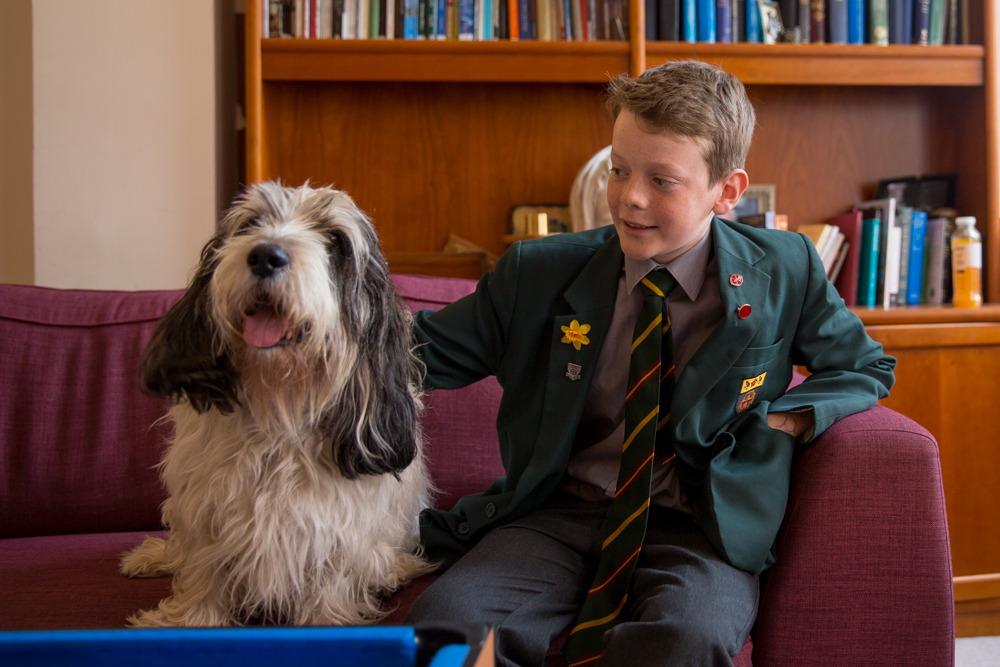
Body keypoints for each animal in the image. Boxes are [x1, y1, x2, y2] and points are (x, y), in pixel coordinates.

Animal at [121, 181, 434, 628]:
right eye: (251, 223)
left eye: (335, 241)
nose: (265, 255)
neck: (279, 407)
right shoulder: (204, 512)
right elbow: (202, 571)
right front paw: (190, 621)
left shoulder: (338, 532)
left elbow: (330, 582)